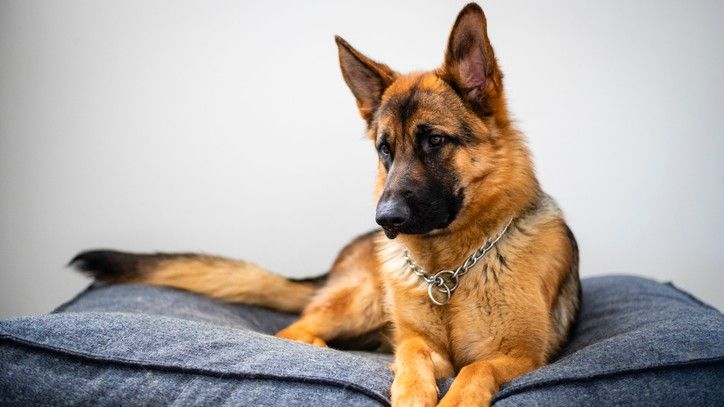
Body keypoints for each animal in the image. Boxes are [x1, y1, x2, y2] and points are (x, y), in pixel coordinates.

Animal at [72, 3, 576, 407]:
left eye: (434, 140)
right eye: (385, 150)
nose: (386, 220)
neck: (448, 272)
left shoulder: (522, 355)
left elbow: (475, 368)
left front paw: (455, 399)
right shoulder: (416, 343)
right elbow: (412, 357)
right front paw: (411, 395)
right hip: (363, 300)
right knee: (293, 328)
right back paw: (315, 345)